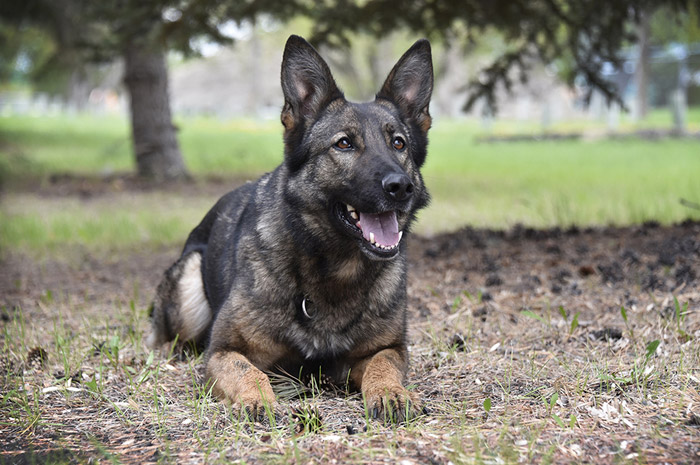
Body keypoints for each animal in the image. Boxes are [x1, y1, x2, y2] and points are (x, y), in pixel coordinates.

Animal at [148, 35, 432, 420]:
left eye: (398, 143)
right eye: (344, 143)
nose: (401, 187)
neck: (335, 270)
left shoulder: (388, 348)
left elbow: (382, 366)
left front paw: (392, 393)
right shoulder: (223, 350)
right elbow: (247, 371)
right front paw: (257, 399)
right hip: (188, 286)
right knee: (165, 334)